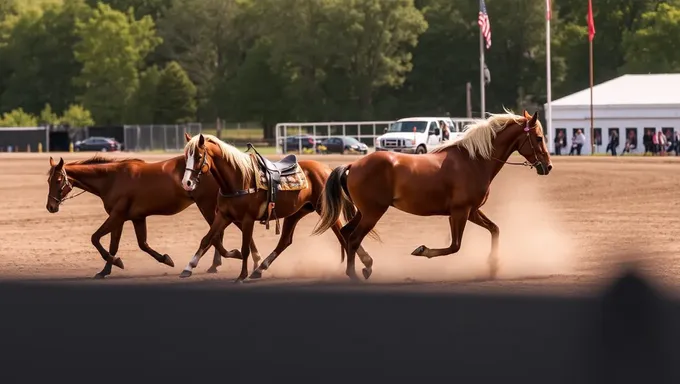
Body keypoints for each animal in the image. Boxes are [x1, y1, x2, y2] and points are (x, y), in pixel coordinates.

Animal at [44, 154, 262, 278]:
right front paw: (107, 269)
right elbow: (133, 244)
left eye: (58, 180)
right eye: (48, 181)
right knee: (226, 233)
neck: (113, 179)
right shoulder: (132, 218)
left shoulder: (117, 216)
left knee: (219, 235)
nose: (50, 206)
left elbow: (95, 238)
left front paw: (115, 262)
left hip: (208, 206)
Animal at [178, 133, 374, 282]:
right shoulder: (224, 216)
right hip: (297, 212)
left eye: (198, 156)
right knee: (285, 241)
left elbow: (245, 247)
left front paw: (241, 276)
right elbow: (207, 239)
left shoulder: (247, 219)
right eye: (186, 156)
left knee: (342, 233)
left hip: (325, 210)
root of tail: (326, 169)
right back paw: (260, 269)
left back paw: (364, 264)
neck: (239, 178)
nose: (186, 183)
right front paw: (188, 267)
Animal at [312, 109, 552, 280]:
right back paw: (356, 273)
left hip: (364, 212)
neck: (473, 161)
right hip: (373, 213)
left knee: (346, 233)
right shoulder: (460, 212)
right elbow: (455, 246)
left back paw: (367, 264)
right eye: (539, 138)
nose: (547, 166)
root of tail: (354, 165)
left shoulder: (471, 211)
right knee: (353, 238)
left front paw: (493, 266)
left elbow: (495, 230)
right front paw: (422, 250)